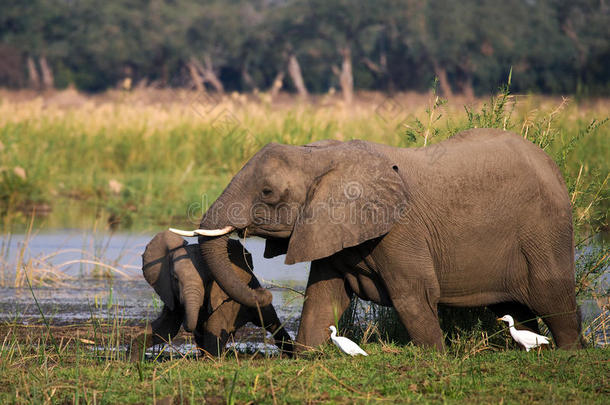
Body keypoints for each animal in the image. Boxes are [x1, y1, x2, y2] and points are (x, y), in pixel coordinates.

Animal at [131, 230, 294, 360]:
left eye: (207, 279)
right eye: (175, 279)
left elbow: (213, 327)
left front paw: (211, 360)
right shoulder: (171, 293)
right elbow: (165, 327)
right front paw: (132, 360)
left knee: (269, 320)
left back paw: (289, 353)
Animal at [175, 129, 580, 350]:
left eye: (268, 192)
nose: (263, 293)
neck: (323, 156)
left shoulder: (400, 230)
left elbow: (414, 296)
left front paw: (436, 358)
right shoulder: (331, 228)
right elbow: (322, 298)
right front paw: (307, 356)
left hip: (545, 228)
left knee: (552, 298)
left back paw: (570, 354)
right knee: (518, 309)